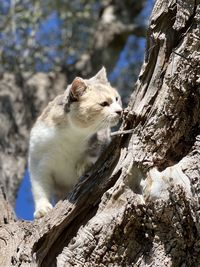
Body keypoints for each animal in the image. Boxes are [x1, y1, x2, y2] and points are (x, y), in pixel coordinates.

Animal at [28, 67, 122, 220]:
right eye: (104, 103)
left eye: (116, 99)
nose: (120, 111)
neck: (71, 136)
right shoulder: (38, 161)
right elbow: (40, 187)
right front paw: (42, 208)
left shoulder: (103, 137)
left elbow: (96, 150)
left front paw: (84, 164)